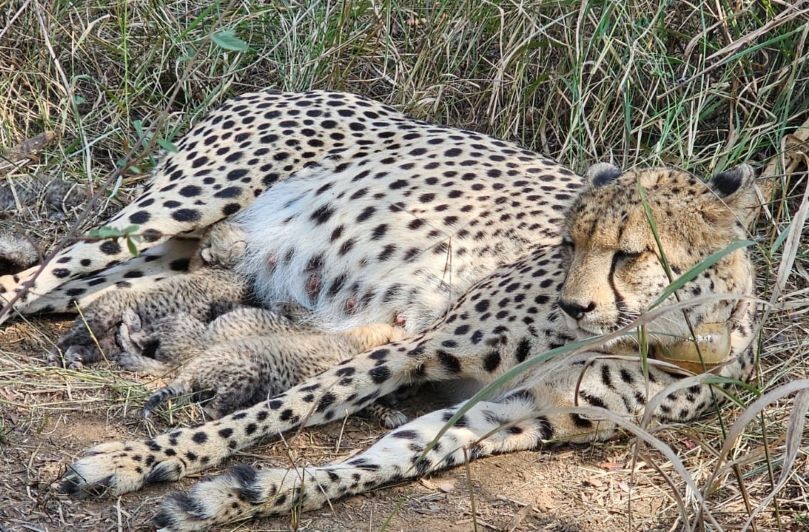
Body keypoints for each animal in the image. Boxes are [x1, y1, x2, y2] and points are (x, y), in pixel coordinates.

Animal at [0, 91, 761, 530]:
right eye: (570, 241)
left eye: (630, 253)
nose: (574, 304)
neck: (666, 337)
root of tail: (287, 85)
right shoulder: (418, 346)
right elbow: (277, 411)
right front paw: (142, 459)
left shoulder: (516, 414)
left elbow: (381, 461)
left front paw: (235, 497)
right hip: (175, 207)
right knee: (31, 280)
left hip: (170, 259)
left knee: (77, 292)